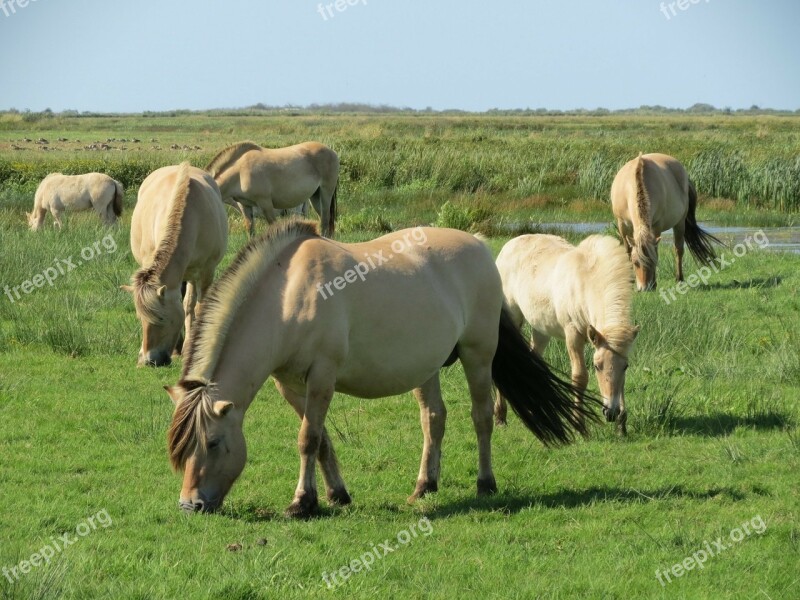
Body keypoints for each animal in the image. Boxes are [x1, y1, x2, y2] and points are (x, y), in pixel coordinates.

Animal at [123, 163, 228, 366]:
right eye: (140, 318)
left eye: (161, 318)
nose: (148, 361)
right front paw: (177, 349)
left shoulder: (206, 272)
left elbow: (197, 307)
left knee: (189, 304)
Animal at [166, 218, 596, 516]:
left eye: (213, 443)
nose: (190, 505)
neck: (289, 296)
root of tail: (479, 246)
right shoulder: (290, 384)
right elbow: (322, 440)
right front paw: (336, 495)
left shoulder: (321, 376)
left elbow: (308, 439)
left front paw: (302, 503)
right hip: (427, 366)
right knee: (434, 418)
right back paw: (425, 485)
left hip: (478, 354)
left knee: (481, 417)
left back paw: (485, 484)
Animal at [205, 142, 340, 238]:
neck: (240, 171)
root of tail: (332, 151)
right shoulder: (245, 206)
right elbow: (251, 230)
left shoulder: (265, 203)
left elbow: (274, 227)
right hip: (315, 197)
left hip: (326, 192)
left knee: (325, 220)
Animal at [490, 232, 640, 434]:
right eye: (597, 366)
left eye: (625, 366)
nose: (610, 412)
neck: (586, 281)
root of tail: (509, 245)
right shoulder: (573, 335)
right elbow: (580, 377)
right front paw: (579, 425)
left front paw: (621, 426)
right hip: (513, 319)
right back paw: (500, 416)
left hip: (540, 329)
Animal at [608, 154, 720, 292]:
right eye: (635, 263)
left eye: (653, 261)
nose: (644, 288)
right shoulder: (622, 225)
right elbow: (628, 251)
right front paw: (630, 281)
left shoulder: (656, 226)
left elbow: (656, 250)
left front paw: (654, 283)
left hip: (680, 223)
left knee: (678, 249)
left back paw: (679, 279)